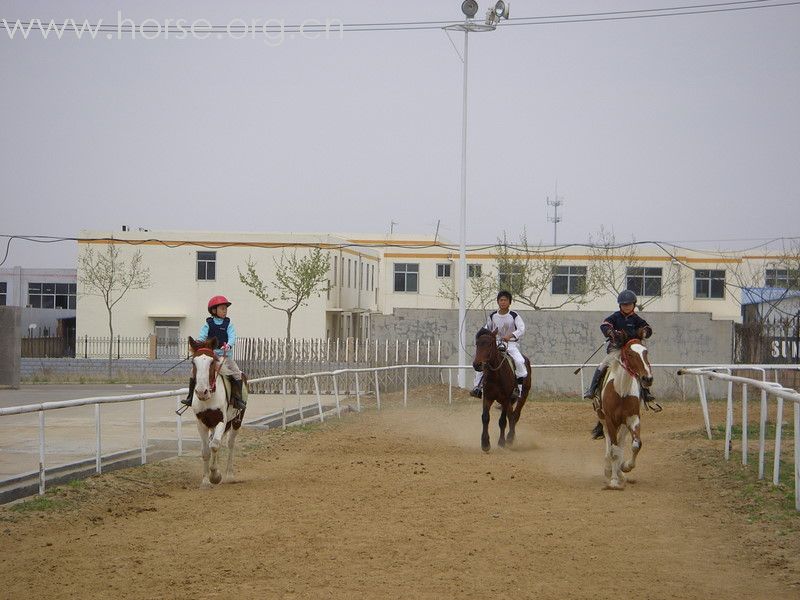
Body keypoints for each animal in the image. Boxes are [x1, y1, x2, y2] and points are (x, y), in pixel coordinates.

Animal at [188, 336, 245, 490]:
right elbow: (206, 450)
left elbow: (214, 445)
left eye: (212, 361)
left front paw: (215, 476)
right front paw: (205, 481)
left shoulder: (221, 420)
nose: (201, 391)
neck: (209, 397)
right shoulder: (201, 423)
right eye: (193, 362)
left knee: (230, 444)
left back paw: (229, 475)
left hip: (236, 421)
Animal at [596, 336, 652, 490]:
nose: (647, 378)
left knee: (620, 445)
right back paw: (609, 470)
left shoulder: (633, 419)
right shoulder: (610, 421)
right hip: (605, 422)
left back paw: (620, 473)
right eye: (630, 354)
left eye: (646, 352)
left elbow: (636, 445)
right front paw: (614, 481)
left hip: (623, 426)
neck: (621, 392)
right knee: (610, 447)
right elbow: (614, 451)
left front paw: (625, 467)